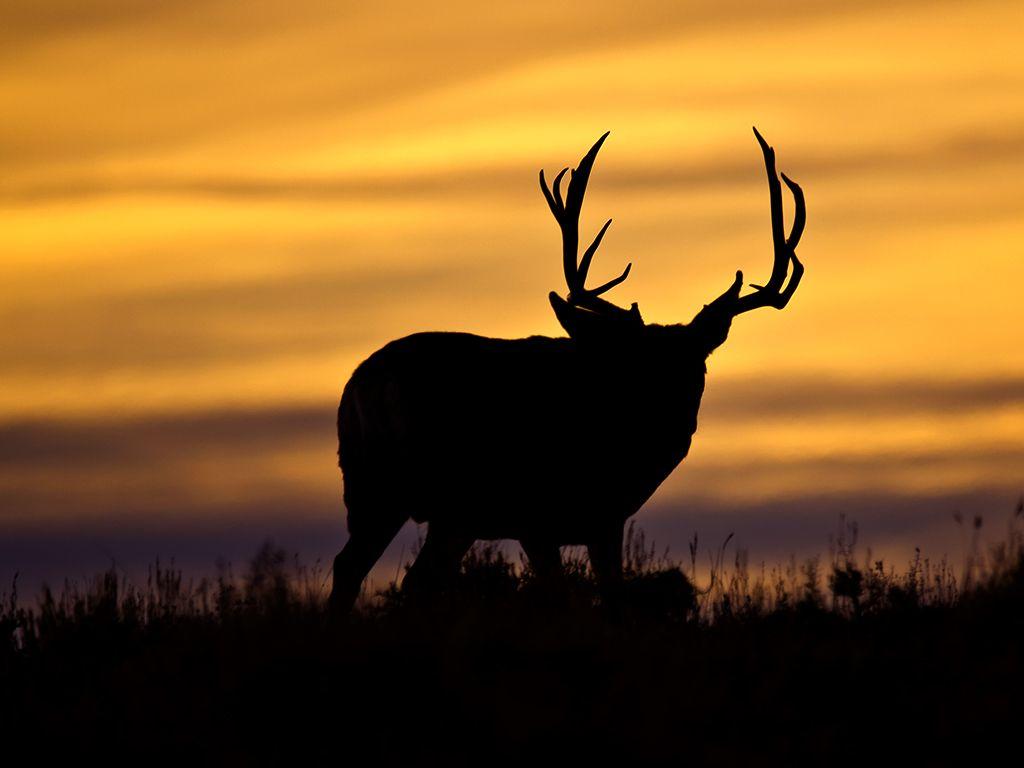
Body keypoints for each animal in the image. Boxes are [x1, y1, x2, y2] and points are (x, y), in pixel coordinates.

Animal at [329, 128, 805, 612]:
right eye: (636, 360)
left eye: (697, 362)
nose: (668, 414)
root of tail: (358, 381)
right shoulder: (535, 514)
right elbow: (561, 596)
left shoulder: (604, 519)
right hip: (390, 487)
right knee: (353, 566)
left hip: (434, 506)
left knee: (408, 576)